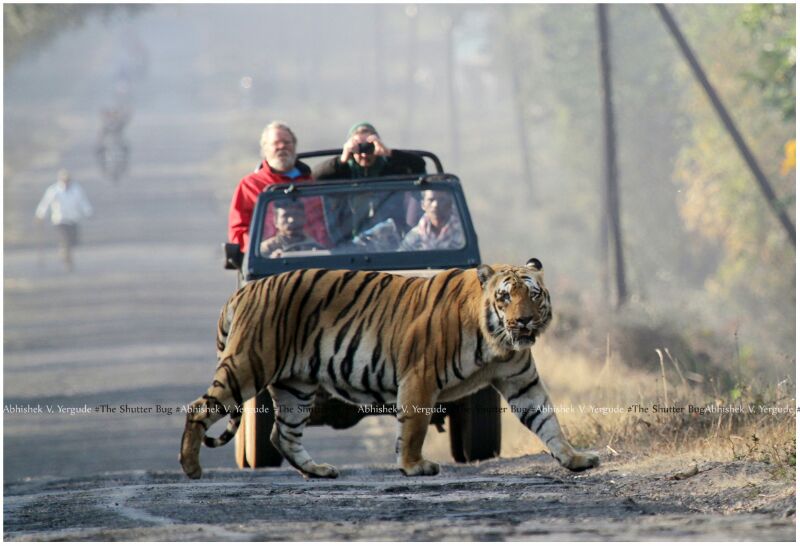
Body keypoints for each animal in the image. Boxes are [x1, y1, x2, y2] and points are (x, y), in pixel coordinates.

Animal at [178, 258, 596, 476]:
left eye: (534, 295)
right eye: (506, 297)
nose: (524, 321)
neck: (498, 344)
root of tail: (245, 289)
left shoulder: (521, 381)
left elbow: (547, 421)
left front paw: (575, 459)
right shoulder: (420, 375)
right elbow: (413, 426)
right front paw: (414, 466)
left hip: (296, 385)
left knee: (283, 435)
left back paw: (319, 470)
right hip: (248, 365)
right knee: (199, 408)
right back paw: (191, 467)